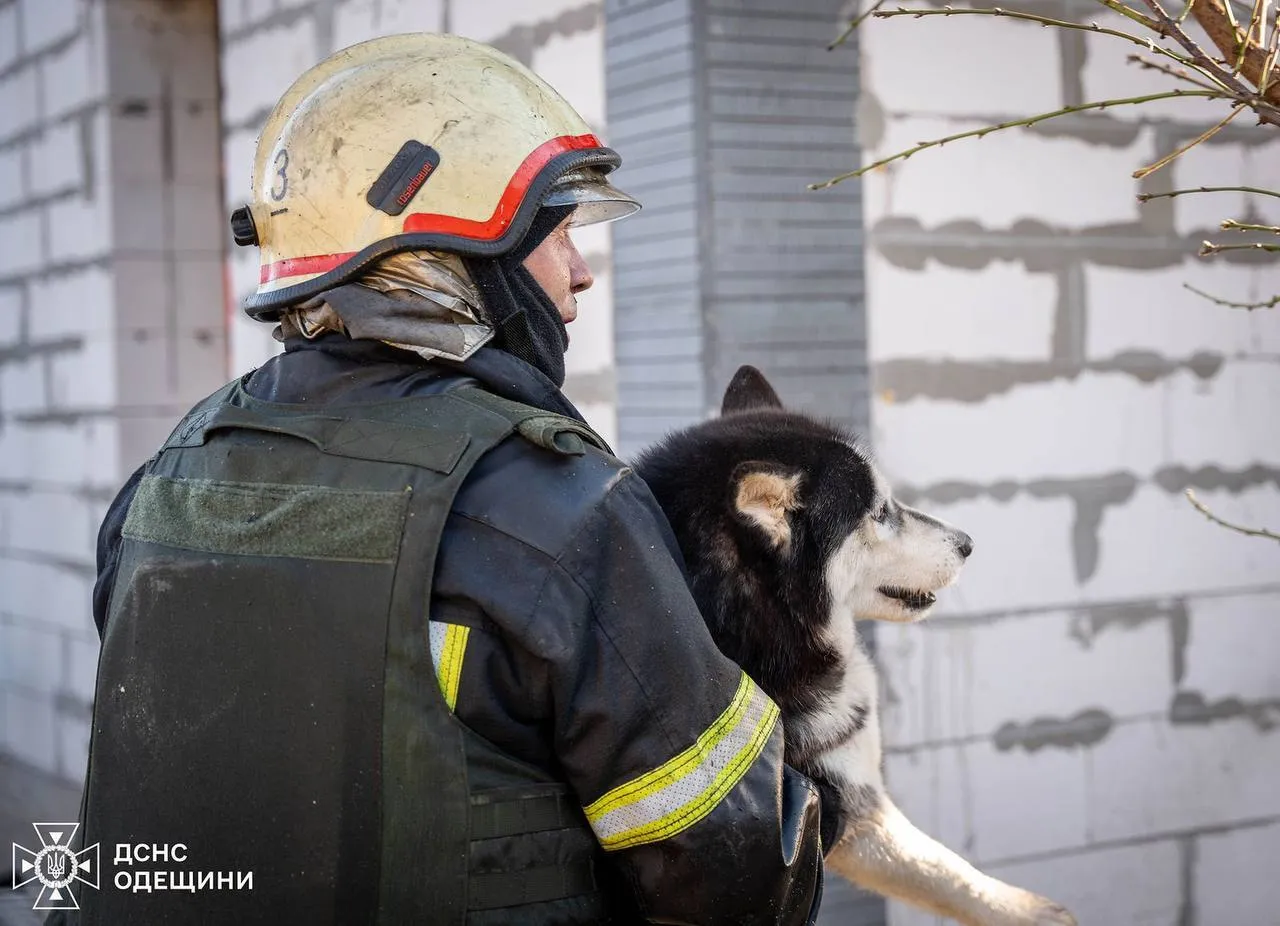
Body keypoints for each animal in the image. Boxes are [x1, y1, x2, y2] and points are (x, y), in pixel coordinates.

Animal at [634, 368, 1075, 926]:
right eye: (881, 512)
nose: (967, 543)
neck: (759, 630)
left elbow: (933, 866)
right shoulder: (825, 808)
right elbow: (940, 866)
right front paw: (1028, 911)